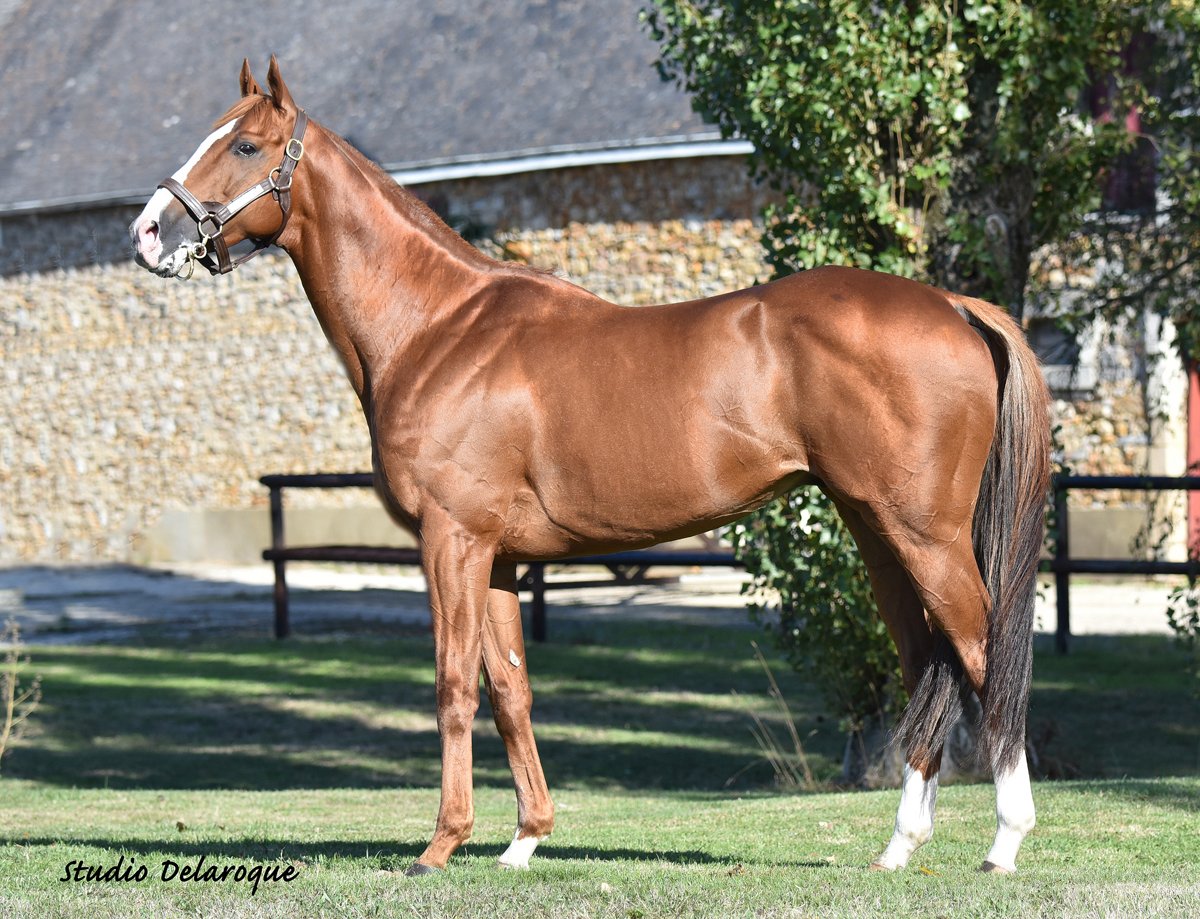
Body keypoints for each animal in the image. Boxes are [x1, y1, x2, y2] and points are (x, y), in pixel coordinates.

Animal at [129, 57, 1050, 876]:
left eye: (245, 145)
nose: (147, 232)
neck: (439, 327)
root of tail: (953, 304)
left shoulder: (451, 540)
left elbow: (453, 685)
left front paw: (440, 845)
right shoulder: (498, 557)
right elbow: (511, 689)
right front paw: (524, 839)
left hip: (925, 534)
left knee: (982, 650)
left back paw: (1006, 841)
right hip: (877, 532)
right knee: (925, 661)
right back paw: (900, 845)